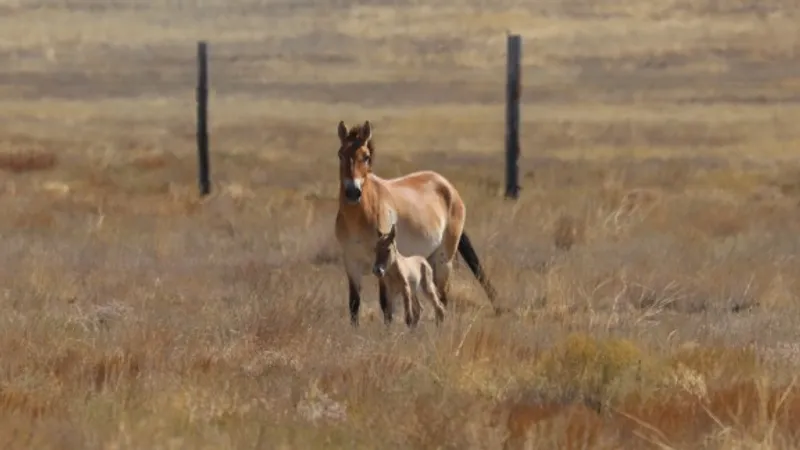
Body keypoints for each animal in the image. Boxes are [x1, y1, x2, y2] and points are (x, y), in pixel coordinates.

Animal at [333, 119, 498, 327]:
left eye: (366, 157)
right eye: (340, 154)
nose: (353, 192)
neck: (359, 216)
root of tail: (448, 187)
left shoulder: (382, 264)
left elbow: (385, 305)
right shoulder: (351, 263)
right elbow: (354, 305)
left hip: (444, 260)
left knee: (441, 298)